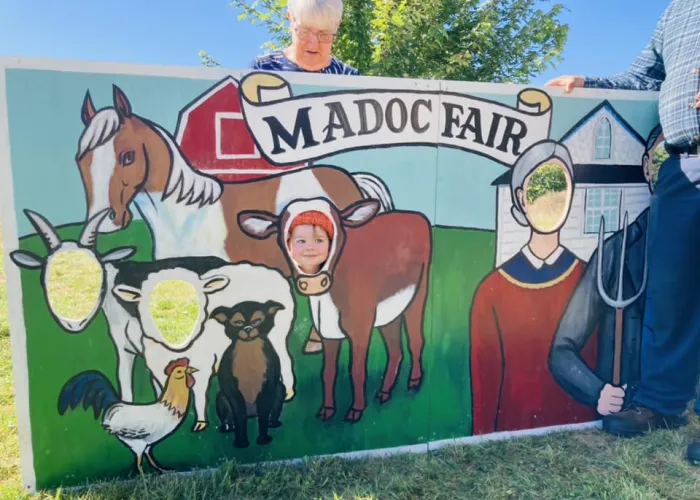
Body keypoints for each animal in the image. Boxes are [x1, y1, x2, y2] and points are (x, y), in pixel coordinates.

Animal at [238, 197, 430, 424]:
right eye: (298, 240)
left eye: (324, 238)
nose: (313, 282)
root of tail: (413, 215)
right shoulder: (327, 330)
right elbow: (328, 372)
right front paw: (327, 410)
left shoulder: (361, 328)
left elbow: (356, 370)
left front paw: (356, 410)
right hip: (389, 312)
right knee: (395, 350)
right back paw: (384, 393)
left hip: (419, 294)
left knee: (416, 340)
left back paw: (414, 383)